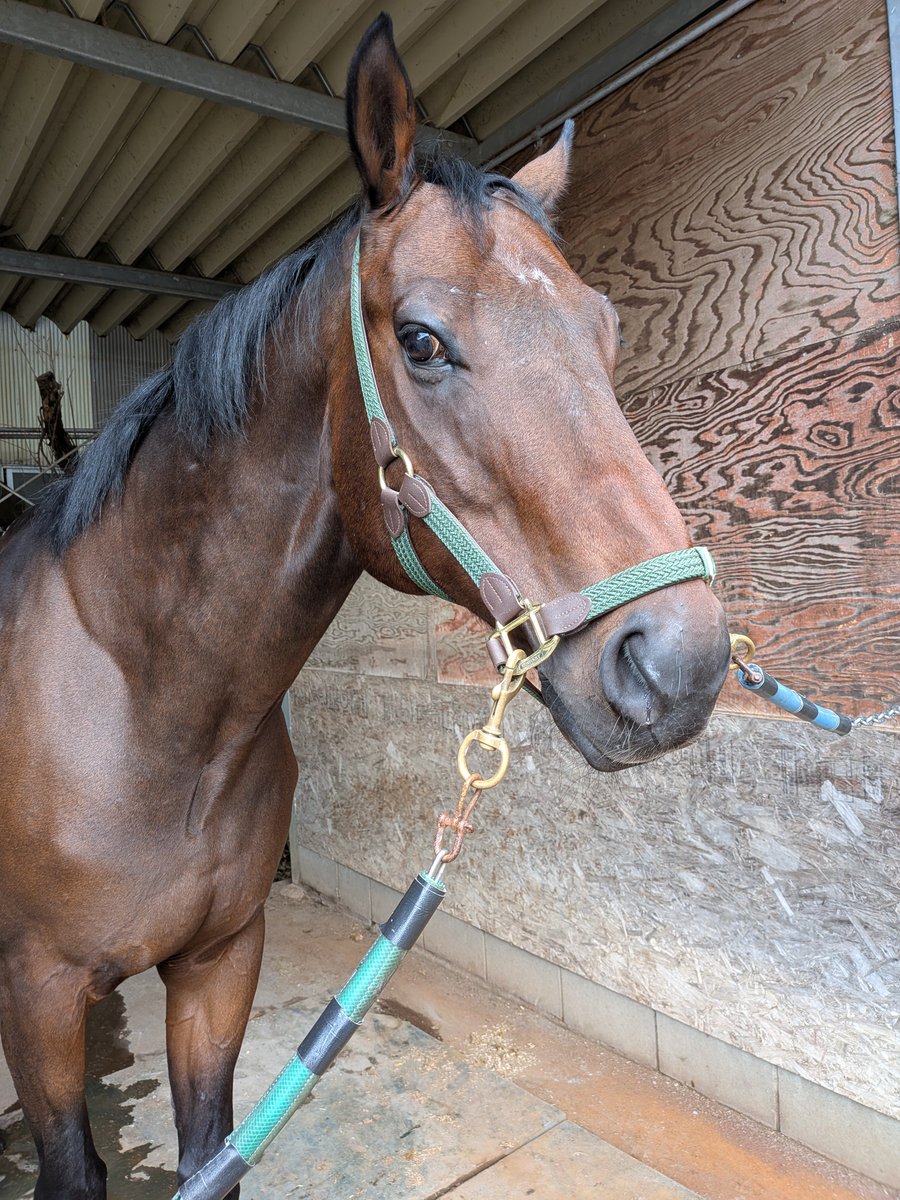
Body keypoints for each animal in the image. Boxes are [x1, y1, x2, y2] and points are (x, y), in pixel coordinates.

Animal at [0, 15, 731, 1198]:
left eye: (607, 330)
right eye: (423, 341)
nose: (681, 663)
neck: (143, 703)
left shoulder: (219, 965)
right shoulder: (40, 1001)